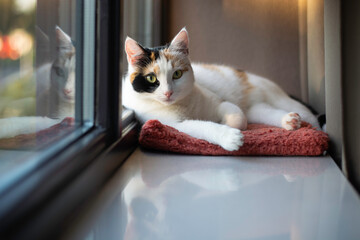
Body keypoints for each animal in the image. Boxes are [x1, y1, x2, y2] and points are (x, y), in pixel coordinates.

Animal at [122, 27, 320, 151]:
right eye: (151, 78)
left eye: (177, 74)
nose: (168, 92)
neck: (183, 105)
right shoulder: (175, 125)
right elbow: (203, 127)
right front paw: (228, 136)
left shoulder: (220, 102)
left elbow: (238, 118)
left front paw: (226, 123)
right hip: (257, 109)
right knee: (264, 112)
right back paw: (288, 121)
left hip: (280, 100)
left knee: (311, 118)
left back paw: (295, 121)